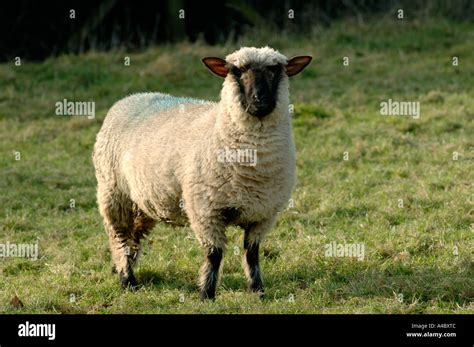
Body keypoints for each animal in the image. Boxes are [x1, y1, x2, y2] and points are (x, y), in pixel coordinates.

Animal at [92, 46, 312, 300]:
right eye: (236, 71)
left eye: (275, 70)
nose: (260, 100)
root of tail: (132, 97)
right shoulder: (205, 210)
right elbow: (214, 254)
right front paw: (207, 293)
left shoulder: (263, 214)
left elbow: (252, 253)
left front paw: (257, 290)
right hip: (113, 193)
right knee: (119, 236)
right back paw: (127, 280)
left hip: (143, 202)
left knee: (133, 236)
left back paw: (121, 268)